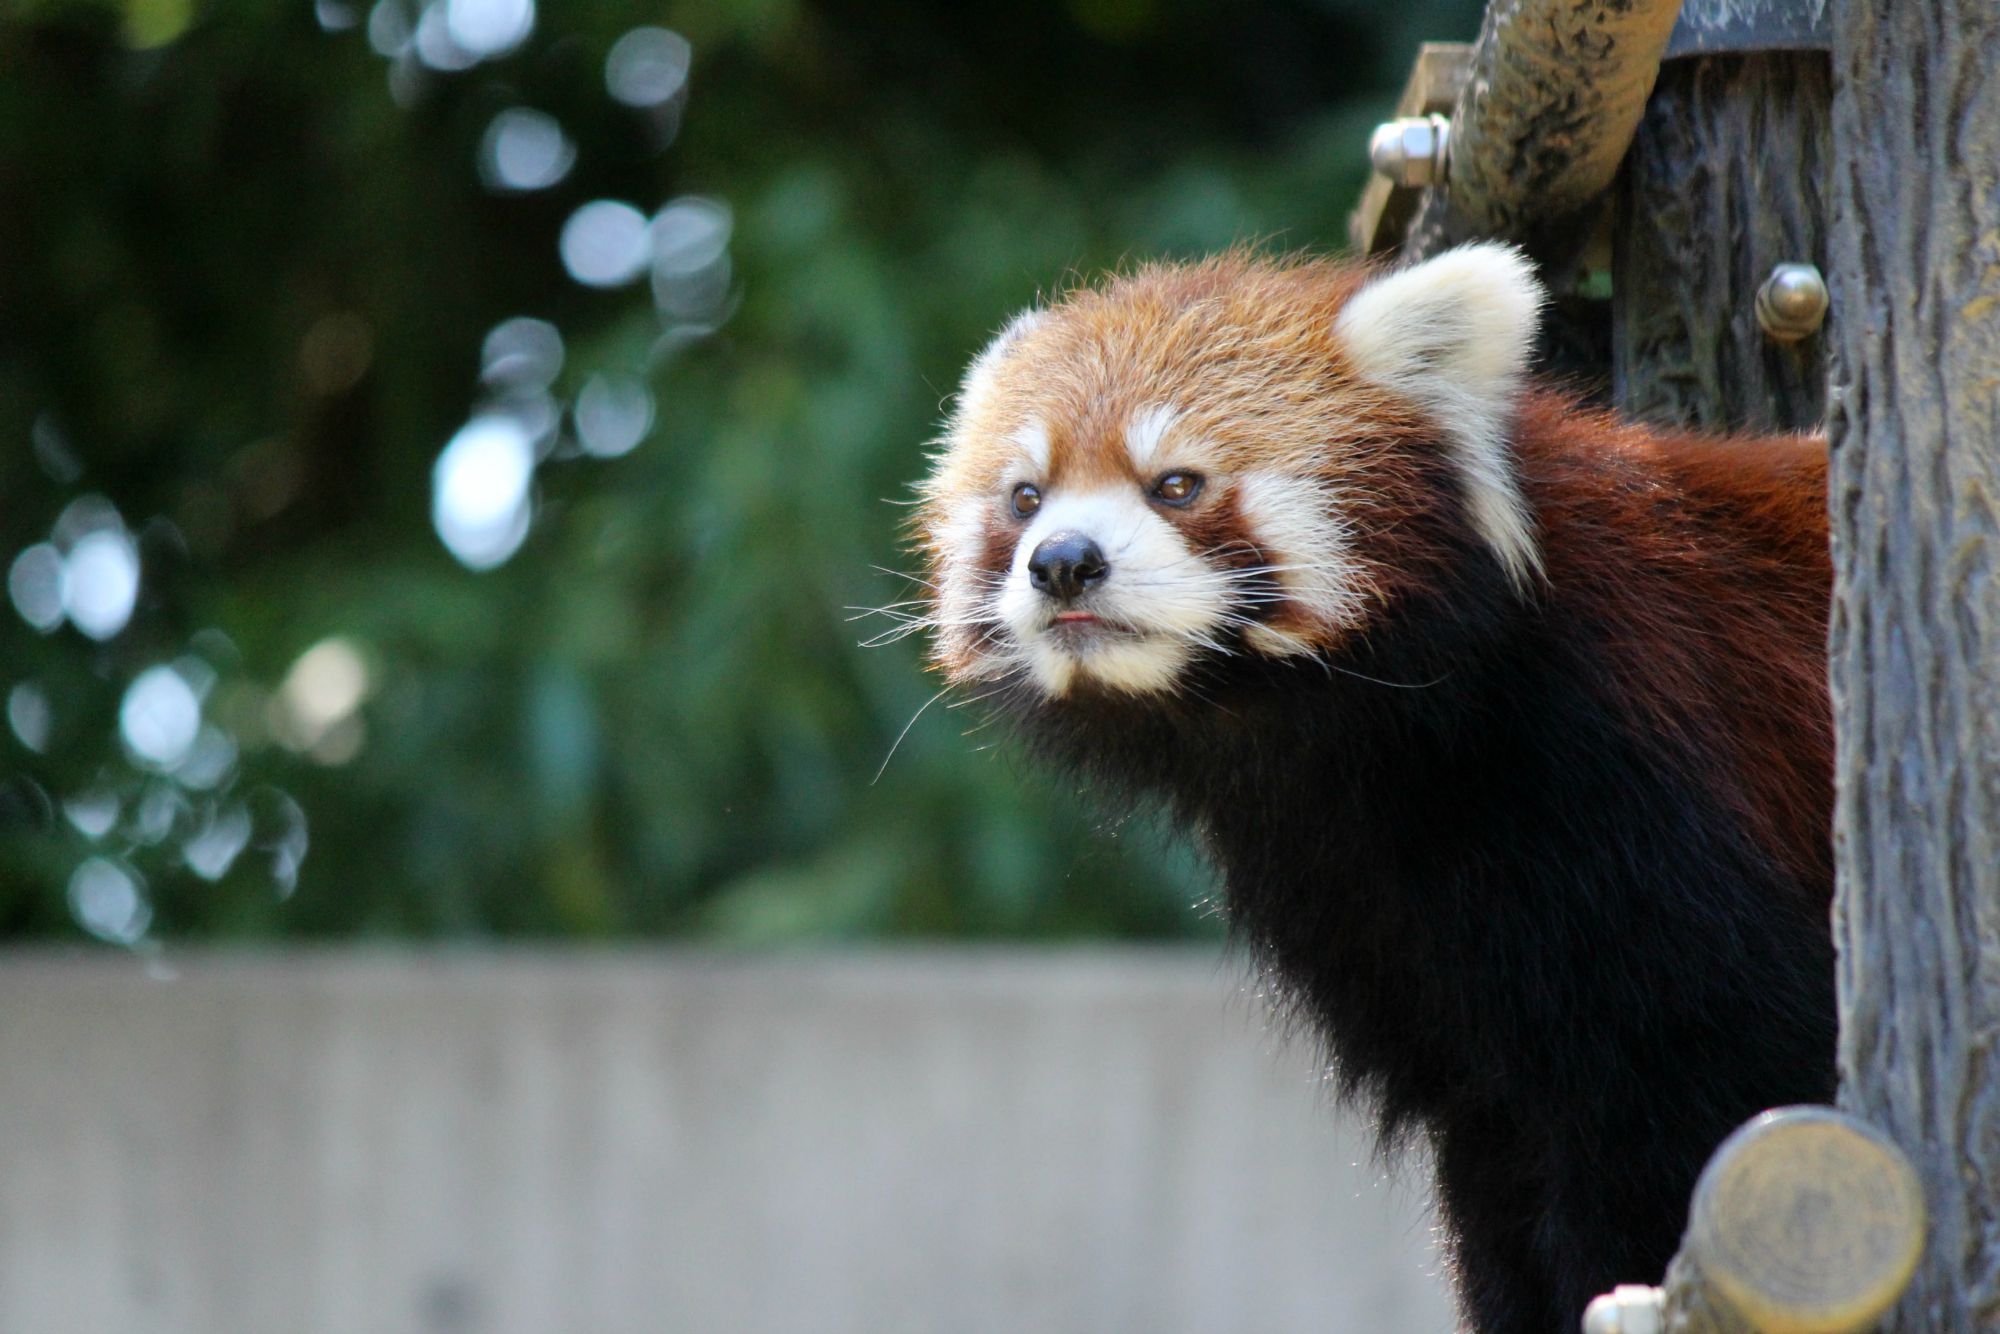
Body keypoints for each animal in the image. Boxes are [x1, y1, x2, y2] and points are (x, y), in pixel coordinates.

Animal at [916, 248, 1832, 1334]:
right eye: (1025, 495)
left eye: (1176, 483)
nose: (1061, 562)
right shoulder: (1388, 937)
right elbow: (1495, 1147)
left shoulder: (1638, 781)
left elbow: (1711, 1082)